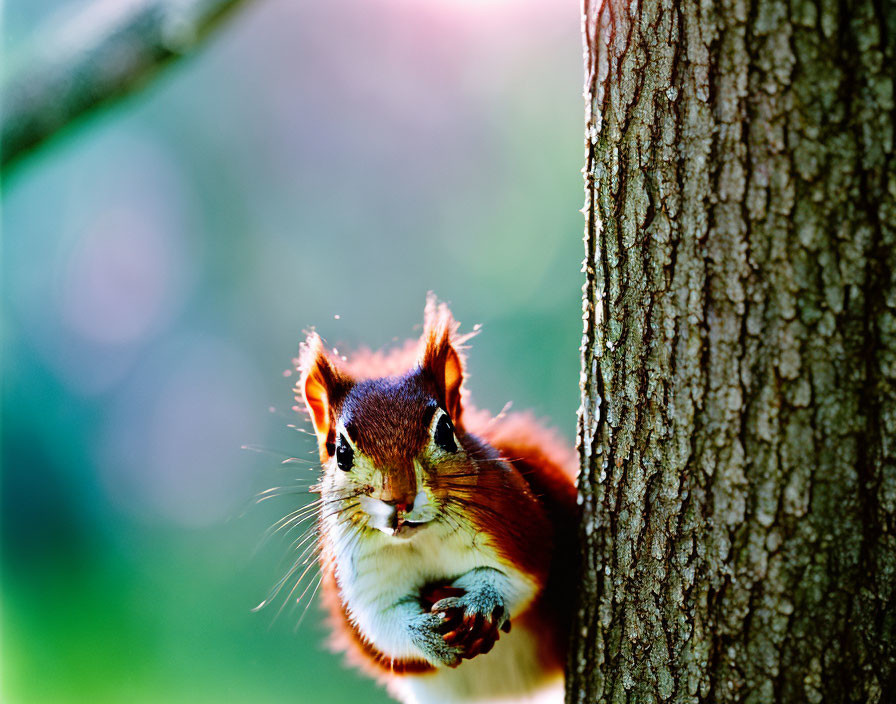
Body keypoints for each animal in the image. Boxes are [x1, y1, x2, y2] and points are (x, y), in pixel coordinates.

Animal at [298, 298, 576, 704]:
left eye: (446, 430)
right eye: (341, 453)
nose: (398, 499)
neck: (421, 539)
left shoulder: (517, 530)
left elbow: (522, 580)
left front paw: (483, 599)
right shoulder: (359, 577)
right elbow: (381, 627)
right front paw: (424, 635)